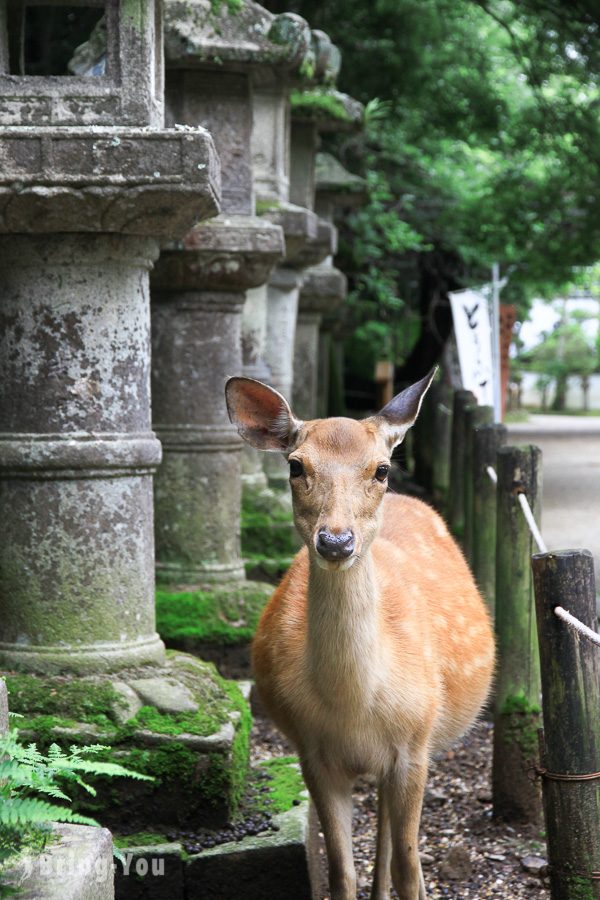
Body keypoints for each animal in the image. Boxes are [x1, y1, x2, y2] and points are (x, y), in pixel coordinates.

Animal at [225, 370, 492, 896]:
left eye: (382, 469)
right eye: (295, 465)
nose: (335, 540)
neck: (354, 706)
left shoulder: (415, 744)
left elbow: (409, 864)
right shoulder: (312, 751)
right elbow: (340, 870)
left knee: (396, 841)